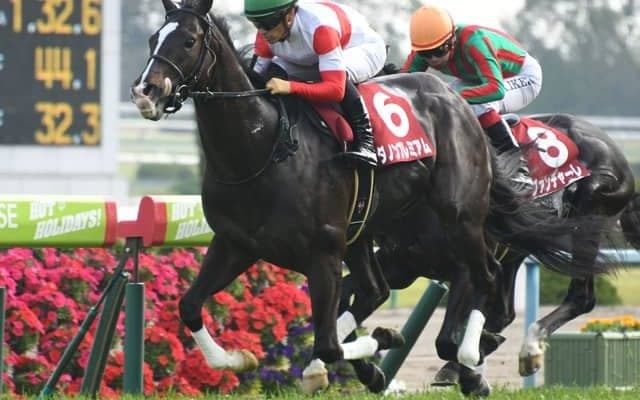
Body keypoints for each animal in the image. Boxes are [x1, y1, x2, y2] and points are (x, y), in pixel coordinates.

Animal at [341, 113, 637, 396]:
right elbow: (347, 301)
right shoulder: (401, 265)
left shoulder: (465, 267)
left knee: (580, 297)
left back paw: (529, 348)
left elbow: (445, 340)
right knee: (505, 312)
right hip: (515, 250)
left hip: (589, 212)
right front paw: (372, 369)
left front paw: (472, 374)